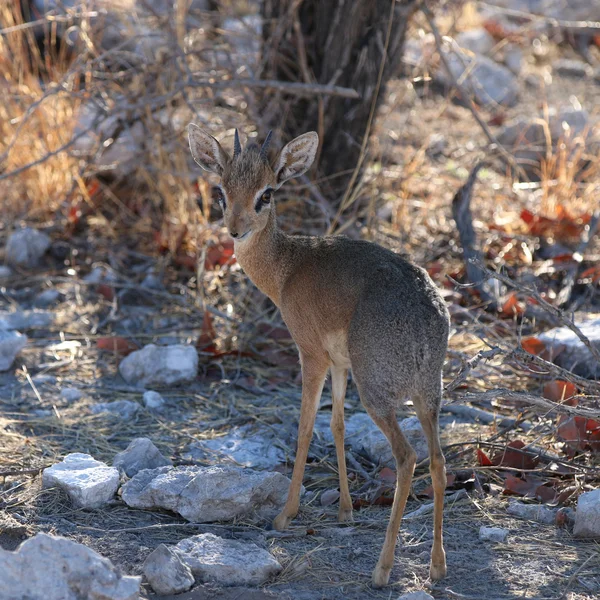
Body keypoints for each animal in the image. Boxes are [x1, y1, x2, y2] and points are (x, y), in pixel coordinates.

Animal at [190, 124, 448, 588]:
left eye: (266, 193)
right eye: (221, 189)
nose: (235, 229)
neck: (286, 268)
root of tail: (429, 316)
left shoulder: (310, 355)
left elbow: (306, 428)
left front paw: (284, 514)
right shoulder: (339, 364)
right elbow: (338, 426)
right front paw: (345, 511)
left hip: (379, 394)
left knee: (407, 458)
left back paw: (382, 569)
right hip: (427, 395)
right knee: (437, 461)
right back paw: (437, 565)